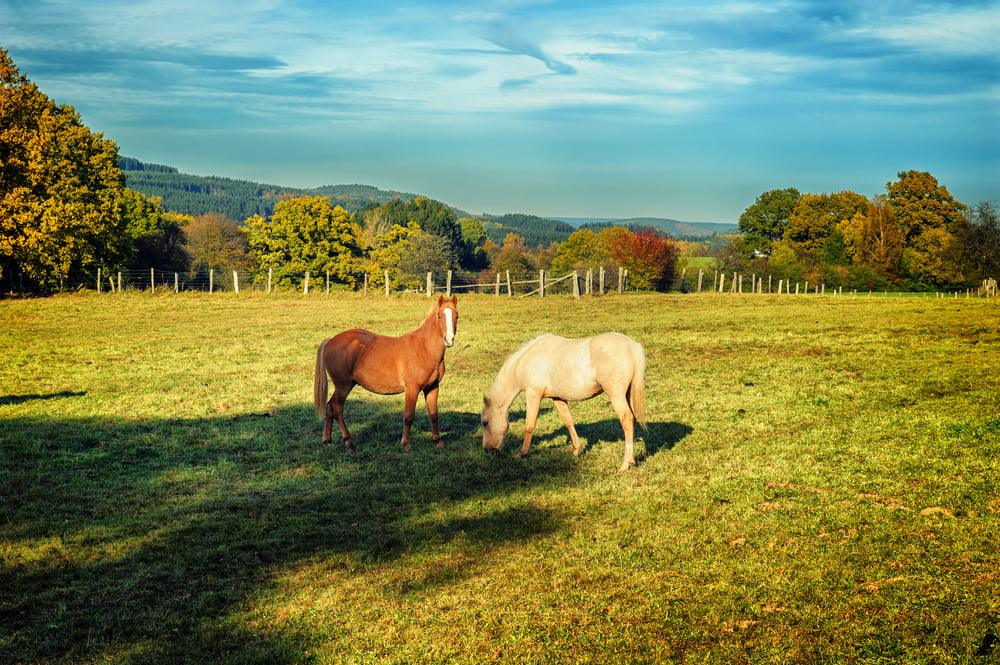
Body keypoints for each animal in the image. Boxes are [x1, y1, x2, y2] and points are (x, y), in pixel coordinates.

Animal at [314, 295, 458, 452]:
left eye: (456, 316)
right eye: (439, 316)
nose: (449, 340)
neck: (424, 348)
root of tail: (330, 341)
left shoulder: (432, 387)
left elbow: (433, 414)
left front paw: (438, 441)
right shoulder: (412, 389)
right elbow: (408, 416)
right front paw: (406, 444)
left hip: (347, 385)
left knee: (330, 407)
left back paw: (327, 440)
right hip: (343, 386)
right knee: (337, 408)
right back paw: (348, 443)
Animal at [480, 332, 647, 471]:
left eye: (485, 423)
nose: (487, 450)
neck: (528, 360)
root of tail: (632, 346)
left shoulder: (533, 395)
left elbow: (529, 425)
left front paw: (522, 453)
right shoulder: (558, 398)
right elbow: (568, 421)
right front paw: (577, 450)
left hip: (616, 395)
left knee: (627, 419)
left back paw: (625, 464)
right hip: (626, 394)